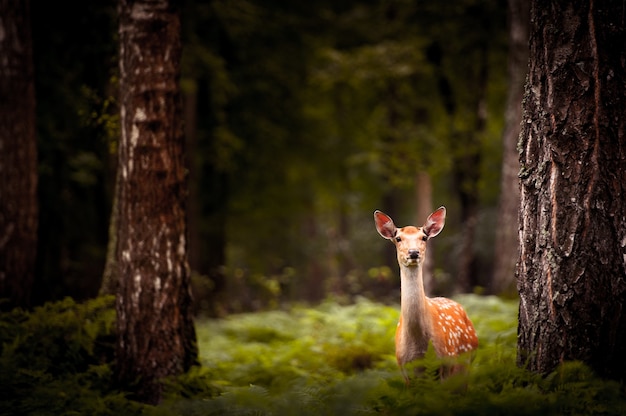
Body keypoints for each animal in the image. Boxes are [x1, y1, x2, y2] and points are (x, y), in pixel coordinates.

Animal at [372, 206, 476, 380]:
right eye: (398, 238)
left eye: (424, 237)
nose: (413, 252)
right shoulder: (403, 366)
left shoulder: (446, 361)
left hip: (465, 361)